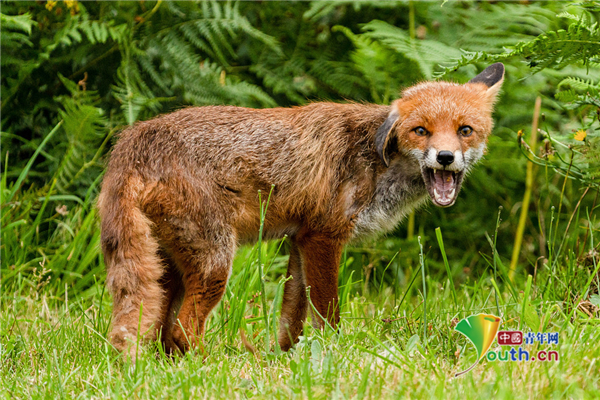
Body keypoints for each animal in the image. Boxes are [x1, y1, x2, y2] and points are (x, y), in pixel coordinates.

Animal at [99, 63, 506, 360]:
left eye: (465, 130)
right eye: (421, 131)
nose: (445, 157)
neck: (376, 160)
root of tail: (132, 140)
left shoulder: (299, 239)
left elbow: (291, 315)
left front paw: (287, 359)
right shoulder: (324, 237)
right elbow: (327, 313)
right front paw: (335, 354)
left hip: (169, 270)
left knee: (161, 333)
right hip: (214, 262)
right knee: (183, 330)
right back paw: (218, 366)